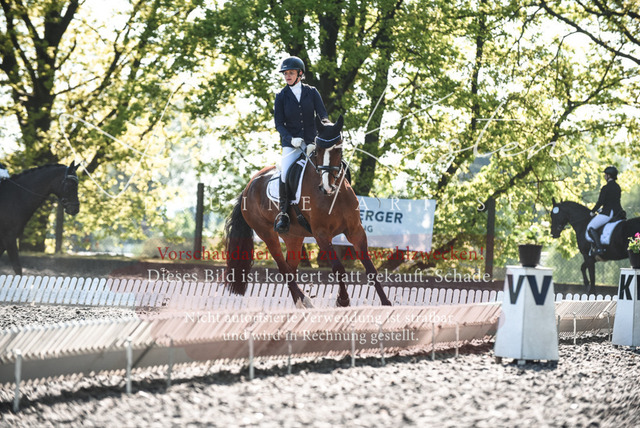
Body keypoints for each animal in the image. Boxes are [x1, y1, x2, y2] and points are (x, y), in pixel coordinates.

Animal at [224, 115, 391, 308]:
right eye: (318, 150)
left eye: (338, 149)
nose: (326, 187)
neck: (334, 195)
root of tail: (248, 187)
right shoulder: (321, 234)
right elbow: (338, 268)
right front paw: (343, 300)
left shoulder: (355, 231)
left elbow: (371, 269)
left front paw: (386, 303)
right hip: (266, 233)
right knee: (283, 268)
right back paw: (305, 301)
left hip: (293, 236)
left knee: (290, 268)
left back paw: (300, 303)